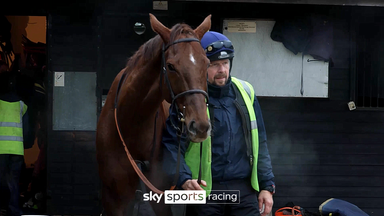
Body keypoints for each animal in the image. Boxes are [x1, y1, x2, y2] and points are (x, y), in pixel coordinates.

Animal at [95, 13, 212, 216]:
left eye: (206, 63)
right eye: (171, 66)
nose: (200, 126)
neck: (132, 124)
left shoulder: (160, 195)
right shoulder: (114, 199)